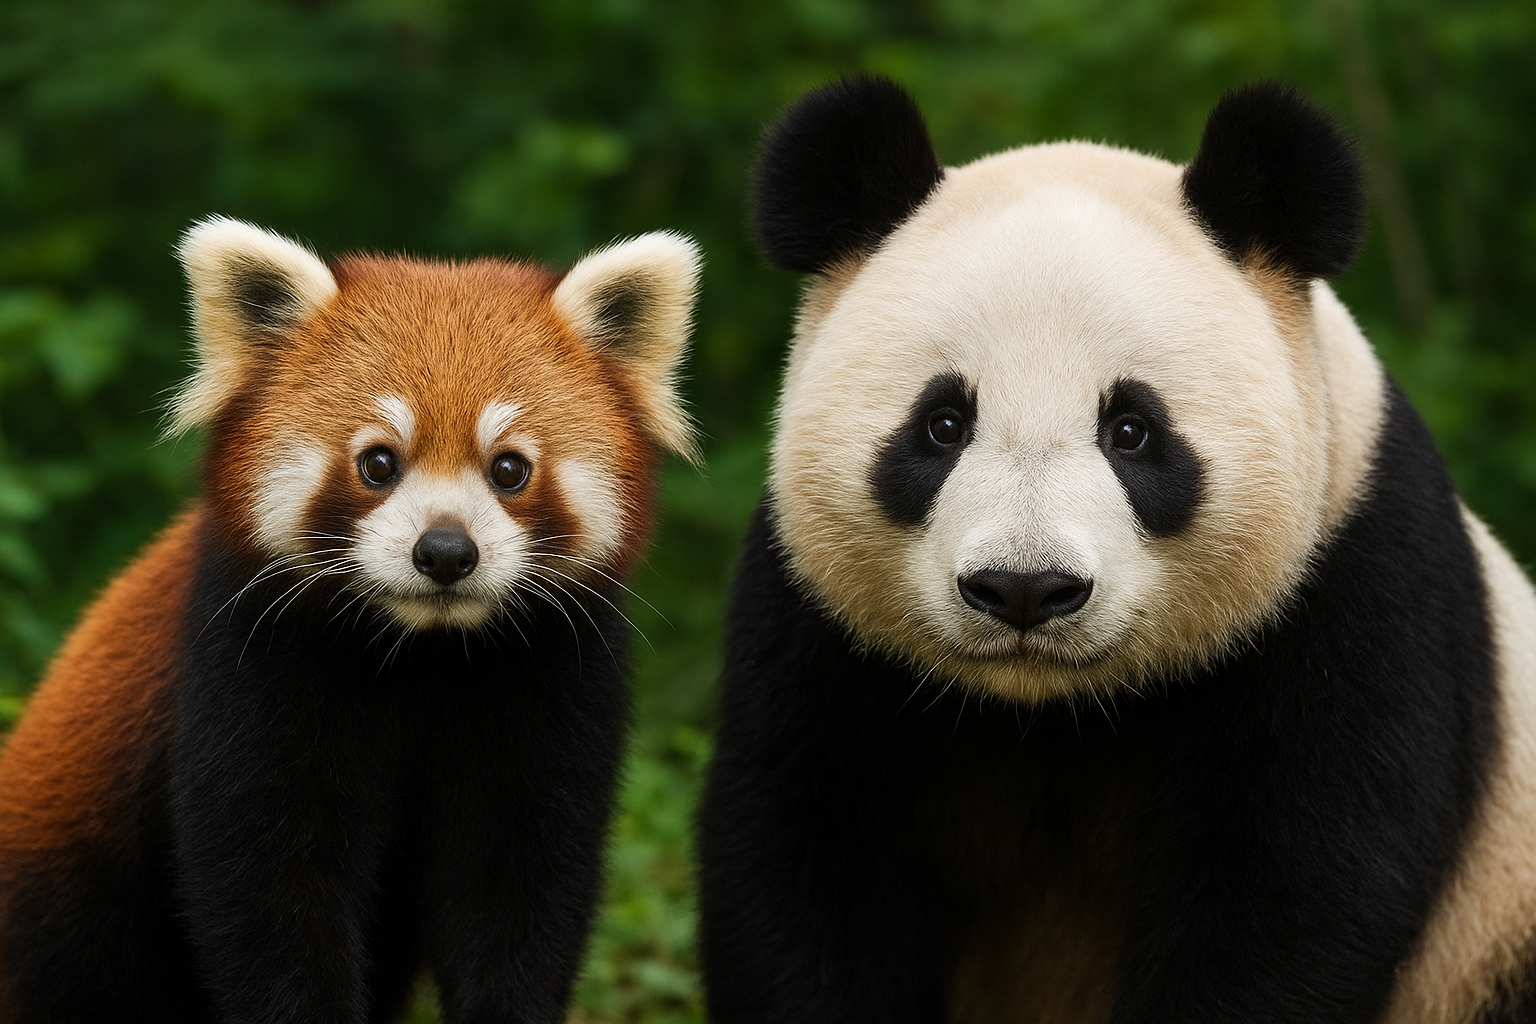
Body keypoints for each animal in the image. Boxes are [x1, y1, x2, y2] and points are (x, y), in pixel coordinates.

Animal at [698, 76, 1536, 1024]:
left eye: (1132, 431)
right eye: (942, 425)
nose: (1023, 590)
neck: (1050, 710)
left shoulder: (1354, 583)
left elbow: (1295, 894)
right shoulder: (821, 627)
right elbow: (809, 864)